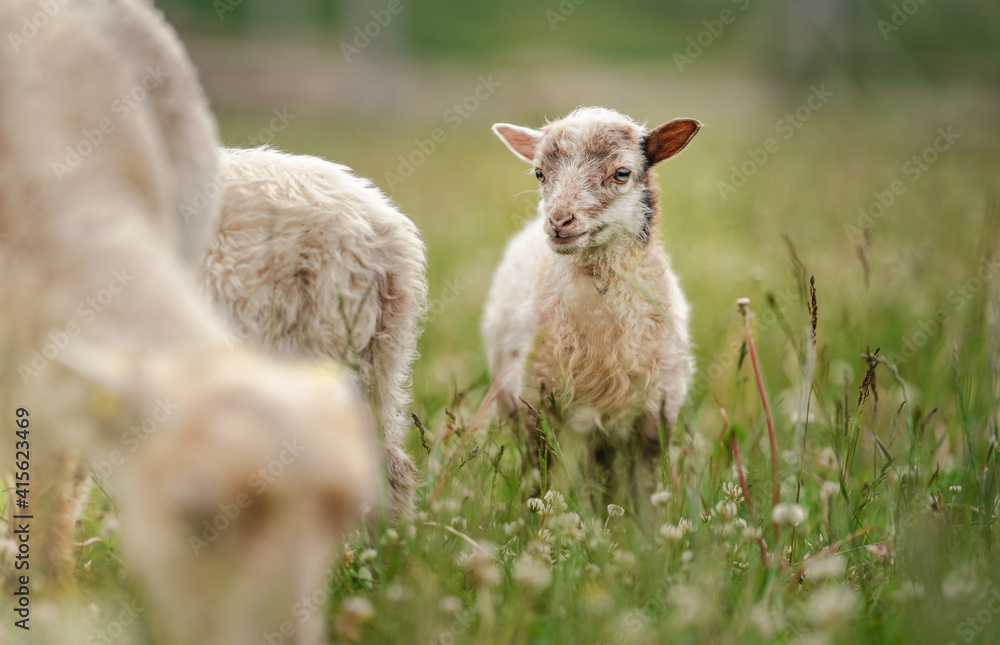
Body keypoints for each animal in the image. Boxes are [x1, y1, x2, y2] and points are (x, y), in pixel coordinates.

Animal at [483, 107, 701, 489]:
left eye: (622, 173)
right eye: (539, 173)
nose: (558, 221)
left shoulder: (658, 411)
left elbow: (646, 484)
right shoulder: (537, 403)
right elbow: (542, 476)